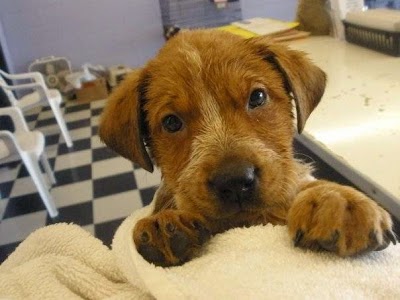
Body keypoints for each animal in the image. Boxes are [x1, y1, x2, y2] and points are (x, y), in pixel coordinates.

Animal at [101, 29, 396, 266]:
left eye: (257, 97)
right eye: (171, 122)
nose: (233, 181)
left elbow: (301, 184)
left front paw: (337, 200)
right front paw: (162, 221)